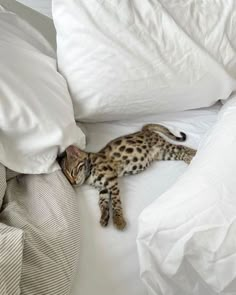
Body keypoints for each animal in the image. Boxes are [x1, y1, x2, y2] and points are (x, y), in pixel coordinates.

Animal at [59, 125, 195, 231]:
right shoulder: (103, 188)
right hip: (163, 154)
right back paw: (192, 158)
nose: (73, 182)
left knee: (181, 147)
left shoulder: (111, 181)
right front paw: (104, 216)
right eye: (68, 180)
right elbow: (102, 203)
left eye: (72, 172)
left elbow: (115, 202)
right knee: (180, 152)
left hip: (163, 146)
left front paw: (119, 220)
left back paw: (194, 154)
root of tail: (144, 130)